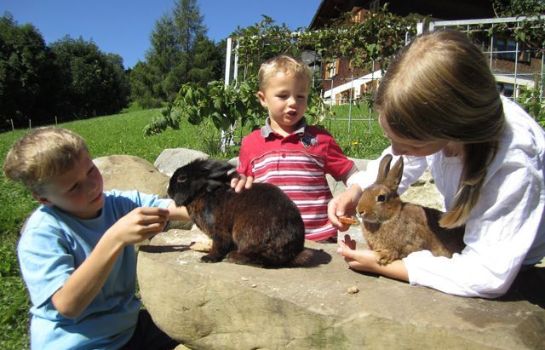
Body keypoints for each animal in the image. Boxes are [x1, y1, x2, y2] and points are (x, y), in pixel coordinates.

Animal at [168, 159, 308, 268]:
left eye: (182, 178)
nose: (169, 191)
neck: (202, 192)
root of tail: (294, 250)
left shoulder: (219, 231)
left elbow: (219, 245)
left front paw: (208, 258)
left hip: (248, 233)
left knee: (265, 259)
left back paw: (234, 257)